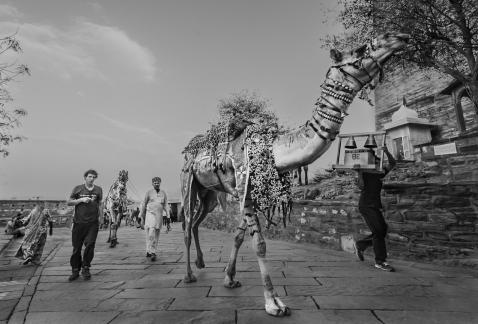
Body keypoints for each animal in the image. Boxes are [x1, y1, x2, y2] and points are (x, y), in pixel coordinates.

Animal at [179, 33, 408, 316]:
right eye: (358, 49)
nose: (397, 37)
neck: (274, 149)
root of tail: (189, 151)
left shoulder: (247, 194)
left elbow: (239, 236)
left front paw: (229, 279)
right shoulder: (246, 189)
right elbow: (260, 244)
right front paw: (274, 303)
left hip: (209, 194)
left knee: (197, 222)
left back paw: (201, 264)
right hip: (188, 183)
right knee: (187, 223)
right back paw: (188, 274)